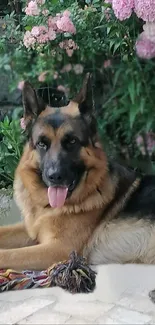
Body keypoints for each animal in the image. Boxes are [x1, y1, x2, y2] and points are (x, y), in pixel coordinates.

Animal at [0, 73, 155, 268]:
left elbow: (8, 255)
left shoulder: (58, 249)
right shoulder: (32, 230)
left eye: (72, 141)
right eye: (42, 144)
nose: (55, 176)